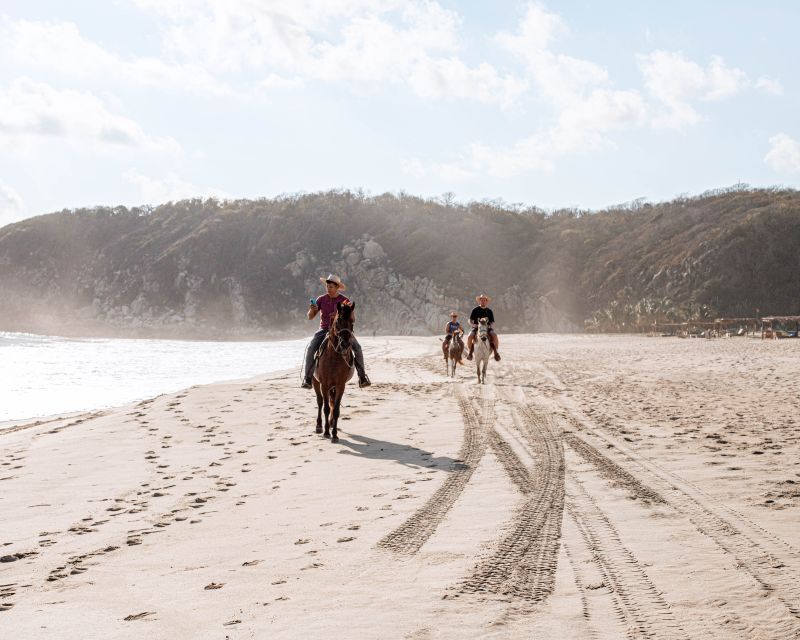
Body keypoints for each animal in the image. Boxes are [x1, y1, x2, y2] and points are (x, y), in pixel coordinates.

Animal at [310, 302, 354, 442]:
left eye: (352, 321)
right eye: (338, 321)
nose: (345, 344)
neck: (334, 357)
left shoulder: (340, 385)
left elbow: (336, 410)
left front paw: (334, 434)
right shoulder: (324, 384)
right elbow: (326, 408)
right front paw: (326, 432)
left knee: (332, 402)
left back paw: (329, 424)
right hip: (316, 382)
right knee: (320, 402)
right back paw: (319, 426)